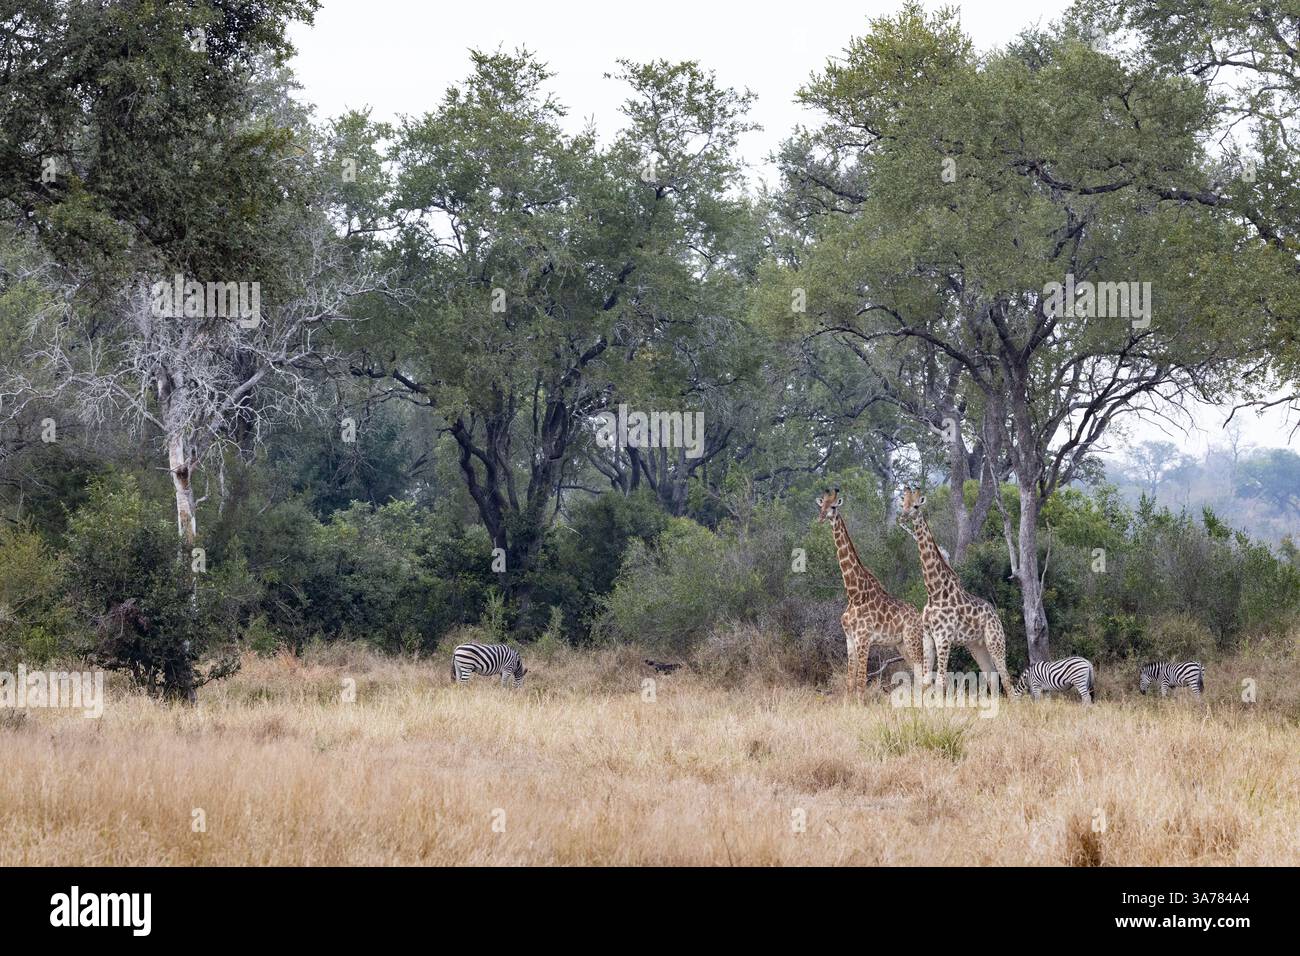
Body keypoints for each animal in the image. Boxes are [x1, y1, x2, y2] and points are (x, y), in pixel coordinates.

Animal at [816, 488, 927, 699]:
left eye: (833, 506)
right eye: (821, 505)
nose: (820, 518)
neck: (854, 594)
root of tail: (918, 616)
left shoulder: (863, 639)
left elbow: (861, 683)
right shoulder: (850, 639)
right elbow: (850, 682)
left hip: (912, 639)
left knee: (923, 672)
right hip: (901, 644)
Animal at [897, 487, 1016, 699]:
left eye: (916, 505)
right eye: (903, 503)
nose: (902, 516)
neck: (934, 591)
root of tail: (995, 614)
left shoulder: (943, 637)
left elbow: (940, 682)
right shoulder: (928, 636)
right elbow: (926, 682)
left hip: (995, 640)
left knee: (1006, 677)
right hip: (976, 645)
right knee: (992, 676)